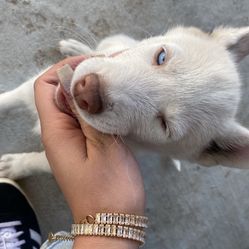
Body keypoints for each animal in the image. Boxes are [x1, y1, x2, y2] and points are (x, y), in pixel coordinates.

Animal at [0, 25, 249, 179]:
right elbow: (12, 97)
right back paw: (77, 47)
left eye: (164, 125)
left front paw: (15, 166)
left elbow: (41, 161)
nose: (87, 92)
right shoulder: (34, 86)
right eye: (161, 56)